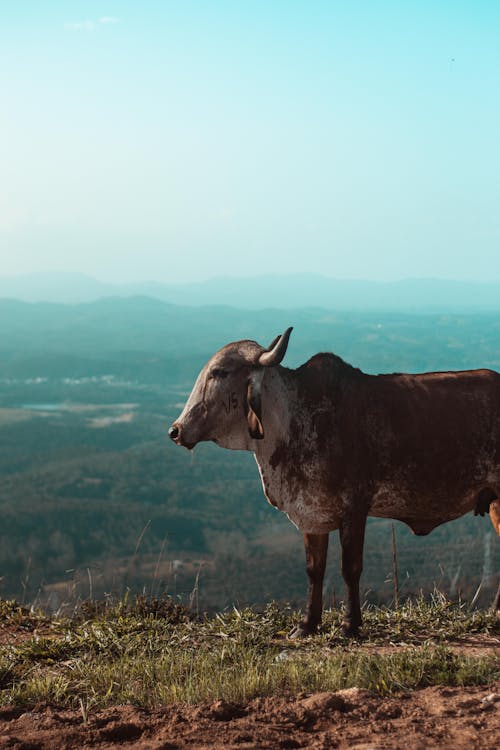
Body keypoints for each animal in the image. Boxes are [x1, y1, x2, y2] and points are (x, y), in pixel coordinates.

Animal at [169, 328, 500, 636]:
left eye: (219, 372)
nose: (176, 430)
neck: (293, 418)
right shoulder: (312, 514)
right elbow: (314, 570)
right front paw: (307, 623)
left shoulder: (354, 509)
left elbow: (350, 569)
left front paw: (350, 624)